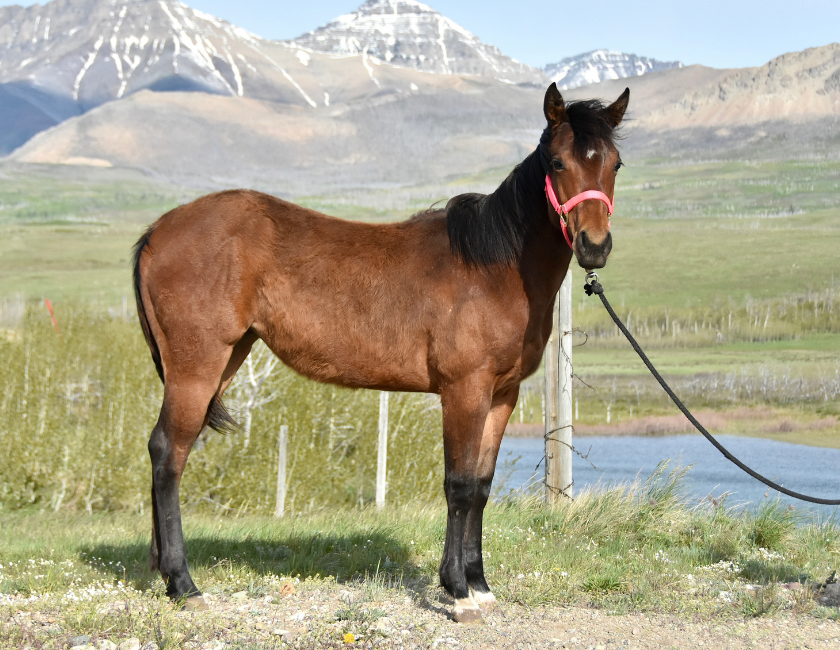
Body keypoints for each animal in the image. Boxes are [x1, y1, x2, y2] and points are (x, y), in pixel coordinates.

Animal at [132, 82, 629, 623]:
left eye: (615, 163)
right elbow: (458, 485)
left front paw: (480, 585)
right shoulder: (464, 390)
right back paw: (184, 584)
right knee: (168, 452)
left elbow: (480, 486)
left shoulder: (502, 395)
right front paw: (457, 592)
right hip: (196, 367)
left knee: (170, 451)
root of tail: (158, 230)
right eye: (558, 162)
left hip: (223, 361)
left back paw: (166, 575)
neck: (494, 268)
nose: (595, 246)